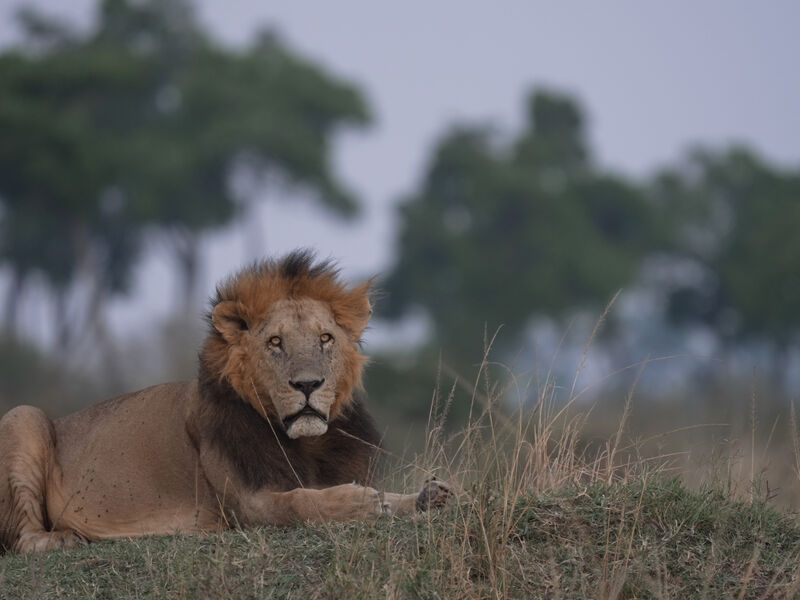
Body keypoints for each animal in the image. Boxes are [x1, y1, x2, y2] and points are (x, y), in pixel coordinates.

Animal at [0, 251, 451, 554]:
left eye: (325, 338)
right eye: (275, 342)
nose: (308, 384)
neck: (306, 443)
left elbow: (393, 498)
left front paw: (426, 496)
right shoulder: (247, 508)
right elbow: (301, 503)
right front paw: (359, 501)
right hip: (24, 416)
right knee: (24, 540)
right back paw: (66, 538)